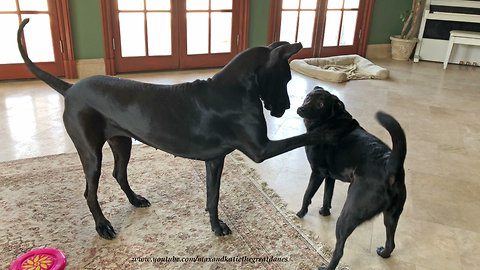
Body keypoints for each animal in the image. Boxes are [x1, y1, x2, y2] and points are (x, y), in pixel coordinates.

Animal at [17, 18, 334, 238]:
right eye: (286, 79)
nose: (287, 108)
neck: (236, 88)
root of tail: (70, 89)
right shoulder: (261, 149)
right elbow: (301, 136)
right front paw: (326, 131)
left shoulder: (215, 160)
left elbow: (213, 196)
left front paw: (215, 225)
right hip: (91, 152)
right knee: (90, 192)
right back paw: (103, 226)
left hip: (122, 141)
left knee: (119, 173)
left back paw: (135, 199)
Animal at [296, 87, 404, 270]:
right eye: (309, 97)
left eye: (321, 104)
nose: (301, 109)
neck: (331, 120)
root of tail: (390, 166)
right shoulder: (329, 176)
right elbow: (327, 195)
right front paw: (324, 212)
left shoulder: (317, 173)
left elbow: (307, 194)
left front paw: (300, 213)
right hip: (391, 216)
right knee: (391, 243)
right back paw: (383, 253)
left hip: (349, 215)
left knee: (339, 251)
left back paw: (327, 267)